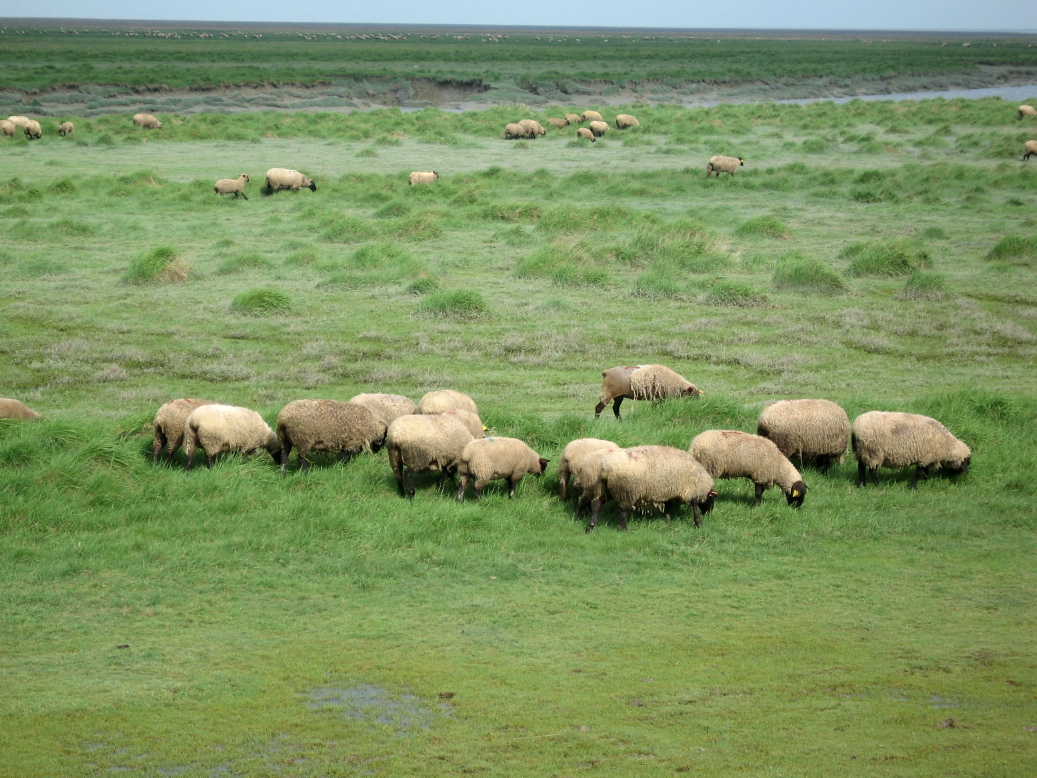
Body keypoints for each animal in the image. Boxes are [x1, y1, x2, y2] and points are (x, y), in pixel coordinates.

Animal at [589, 448, 717, 535]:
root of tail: (606, 467)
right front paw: (699, 523)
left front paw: (668, 521)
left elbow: (669, 506)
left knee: (596, 505)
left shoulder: (669, 490)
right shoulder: (690, 489)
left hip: (604, 487)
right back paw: (624, 529)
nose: (709, 513)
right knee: (621, 511)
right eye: (712, 498)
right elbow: (694, 505)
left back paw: (591, 526)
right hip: (627, 490)